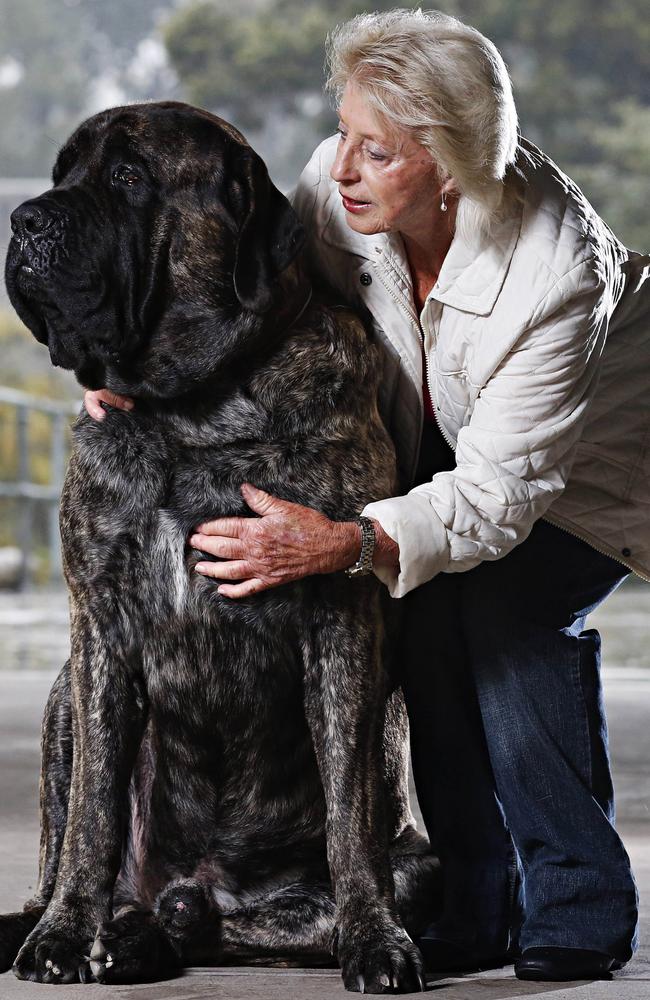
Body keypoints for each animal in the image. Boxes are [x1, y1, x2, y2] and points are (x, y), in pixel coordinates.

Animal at [3, 101, 436, 992]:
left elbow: (351, 815)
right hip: (63, 694)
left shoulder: (340, 622)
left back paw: (157, 934)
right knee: (83, 853)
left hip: (411, 852)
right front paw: (64, 935)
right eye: (63, 173)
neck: (193, 412)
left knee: (234, 923)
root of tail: (193, 886)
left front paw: (376, 942)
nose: (24, 219)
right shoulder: (99, 625)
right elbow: (91, 815)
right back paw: (98, 929)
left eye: (128, 176)